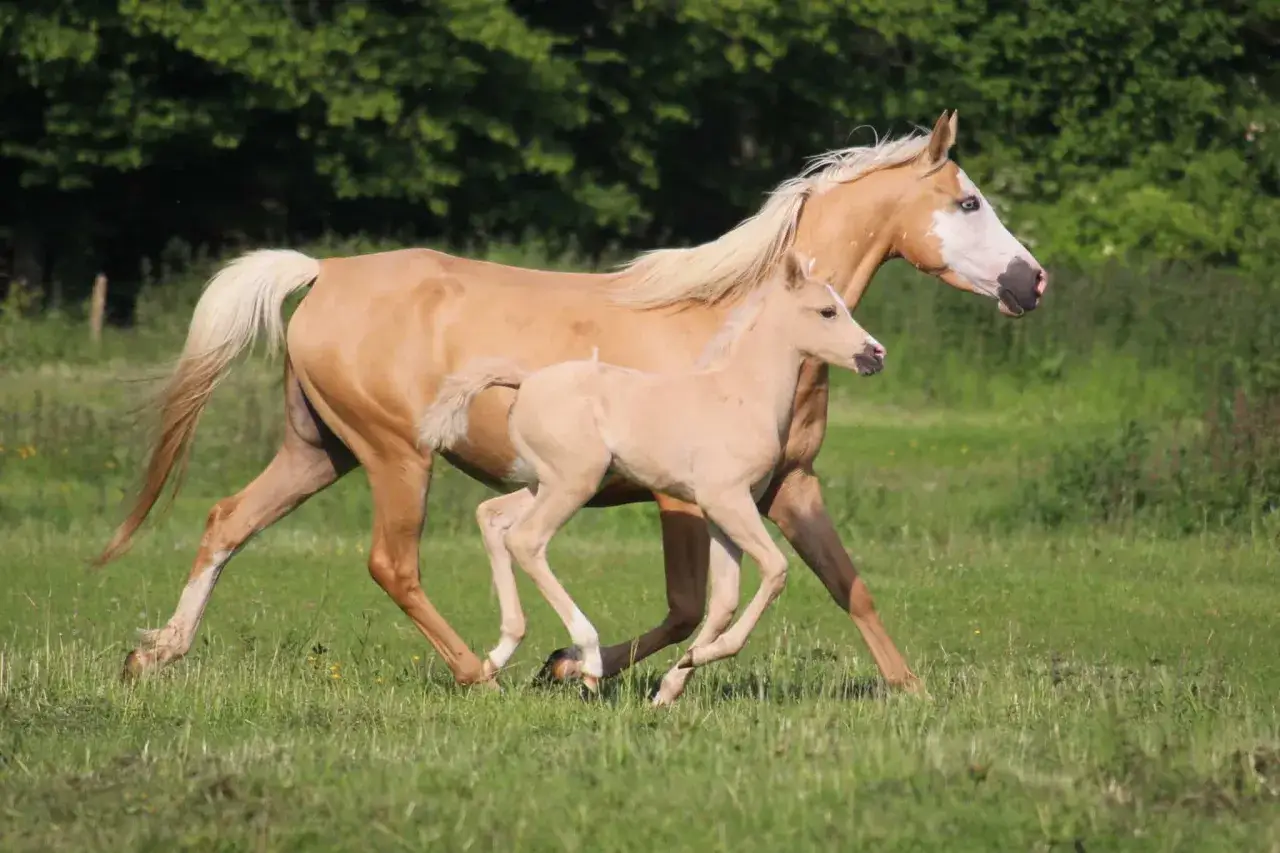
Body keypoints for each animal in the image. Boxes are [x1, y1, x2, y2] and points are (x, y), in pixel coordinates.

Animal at [422, 250, 887, 704]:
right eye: (827, 311)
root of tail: (526, 381)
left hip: (545, 483)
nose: (875, 354)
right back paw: (588, 662)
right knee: (526, 540)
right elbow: (775, 570)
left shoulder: (722, 513)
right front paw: (700, 656)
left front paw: (671, 685)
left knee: (492, 517)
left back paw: (500, 653)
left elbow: (724, 601)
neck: (741, 395)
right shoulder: (727, 500)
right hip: (573, 483)